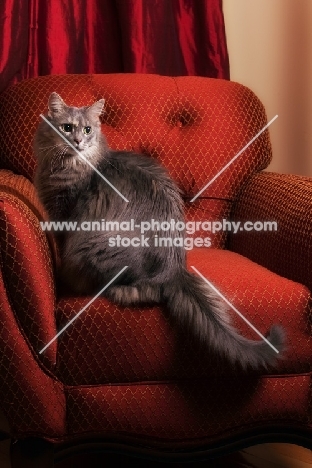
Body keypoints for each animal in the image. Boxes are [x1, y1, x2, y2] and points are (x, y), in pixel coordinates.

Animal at [33, 91, 286, 370]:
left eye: (88, 129)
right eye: (67, 127)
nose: (78, 141)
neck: (69, 165)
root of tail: (175, 269)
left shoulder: (64, 215)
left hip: (95, 248)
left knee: (144, 292)